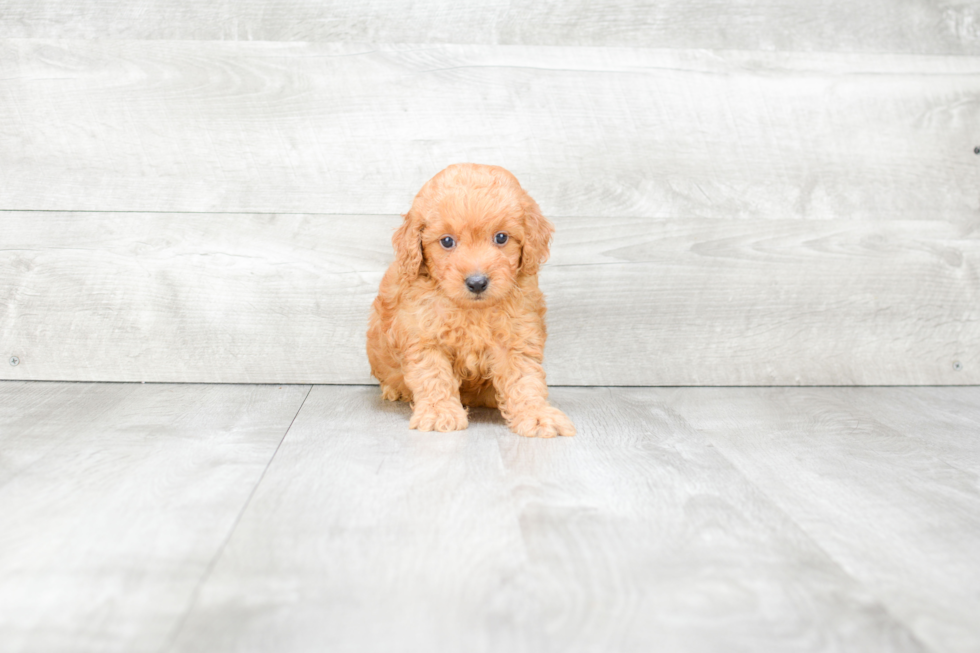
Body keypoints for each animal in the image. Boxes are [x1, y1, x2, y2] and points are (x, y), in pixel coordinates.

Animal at [372, 163, 580, 438]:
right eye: (447, 241)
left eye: (501, 238)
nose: (477, 282)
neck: (473, 310)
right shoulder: (424, 336)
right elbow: (434, 376)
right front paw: (440, 413)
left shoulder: (517, 337)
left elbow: (524, 378)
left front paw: (536, 415)